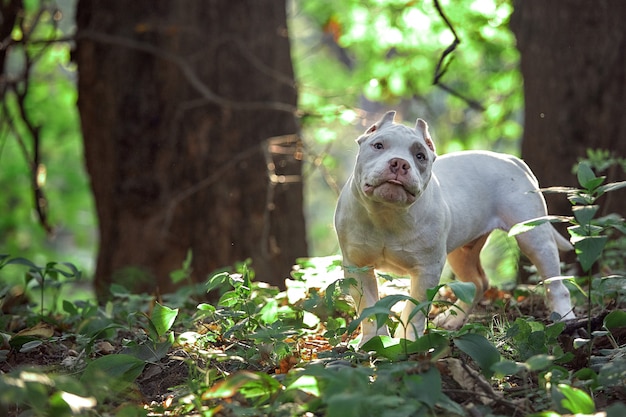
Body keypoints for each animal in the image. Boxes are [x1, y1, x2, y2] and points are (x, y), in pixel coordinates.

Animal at [334, 111, 572, 344]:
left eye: (420, 156)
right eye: (378, 145)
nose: (399, 163)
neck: (386, 213)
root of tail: (511, 159)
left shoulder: (427, 270)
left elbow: (415, 309)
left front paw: (409, 342)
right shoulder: (357, 267)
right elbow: (368, 308)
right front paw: (372, 342)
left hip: (534, 237)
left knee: (556, 284)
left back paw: (565, 319)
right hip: (462, 252)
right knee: (478, 283)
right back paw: (452, 319)